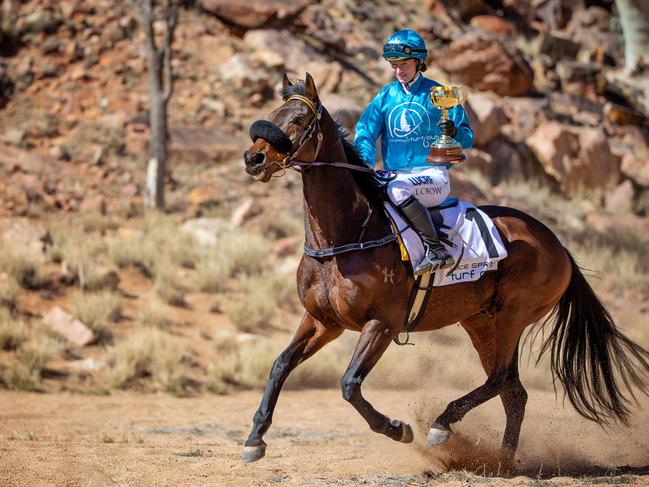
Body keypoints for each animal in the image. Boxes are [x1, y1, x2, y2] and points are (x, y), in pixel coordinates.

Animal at [239, 72, 648, 466]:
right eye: (272, 114)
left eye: (298, 118)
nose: (253, 159)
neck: (345, 239)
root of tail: (556, 243)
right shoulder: (323, 321)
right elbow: (280, 365)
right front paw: (255, 439)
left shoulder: (382, 323)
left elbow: (349, 384)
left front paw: (398, 428)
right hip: (481, 322)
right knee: (513, 391)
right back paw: (503, 460)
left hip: (512, 316)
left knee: (501, 379)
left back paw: (442, 424)